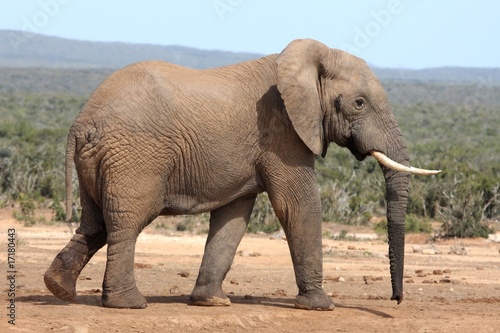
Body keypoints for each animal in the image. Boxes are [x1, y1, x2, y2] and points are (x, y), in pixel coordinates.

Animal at [45, 38, 440, 308]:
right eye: (359, 103)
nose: (396, 300)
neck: (306, 60)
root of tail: (81, 122)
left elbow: (234, 217)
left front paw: (211, 301)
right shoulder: (282, 134)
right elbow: (298, 205)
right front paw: (320, 305)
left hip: (100, 160)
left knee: (95, 223)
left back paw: (58, 289)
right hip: (134, 157)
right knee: (126, 222)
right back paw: (128, 304)